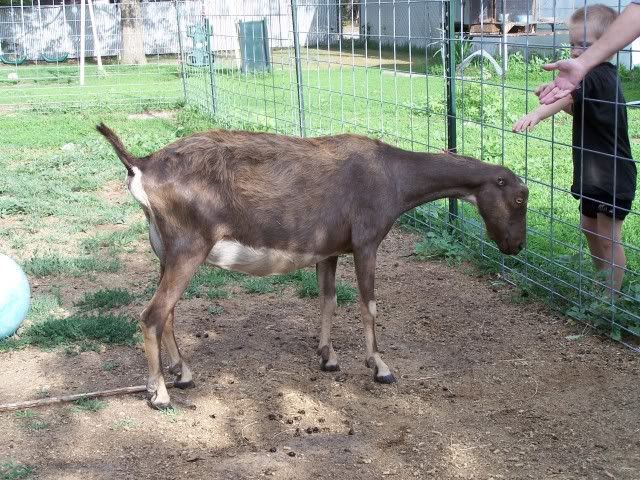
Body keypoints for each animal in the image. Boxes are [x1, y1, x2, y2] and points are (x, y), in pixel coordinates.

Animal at [97, 123, 528, 409]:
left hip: (165, 252)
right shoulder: (366, 242)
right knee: (152, 315)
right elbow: (368, 305)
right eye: (521, 197)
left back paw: (182, 375)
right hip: (188, 249)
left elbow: (328, 299)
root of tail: (141, 165)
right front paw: (380, 367)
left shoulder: (330, 249)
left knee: (167, 313)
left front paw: (328, 357)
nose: (516, 246)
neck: (393, 176)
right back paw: (159, 394)